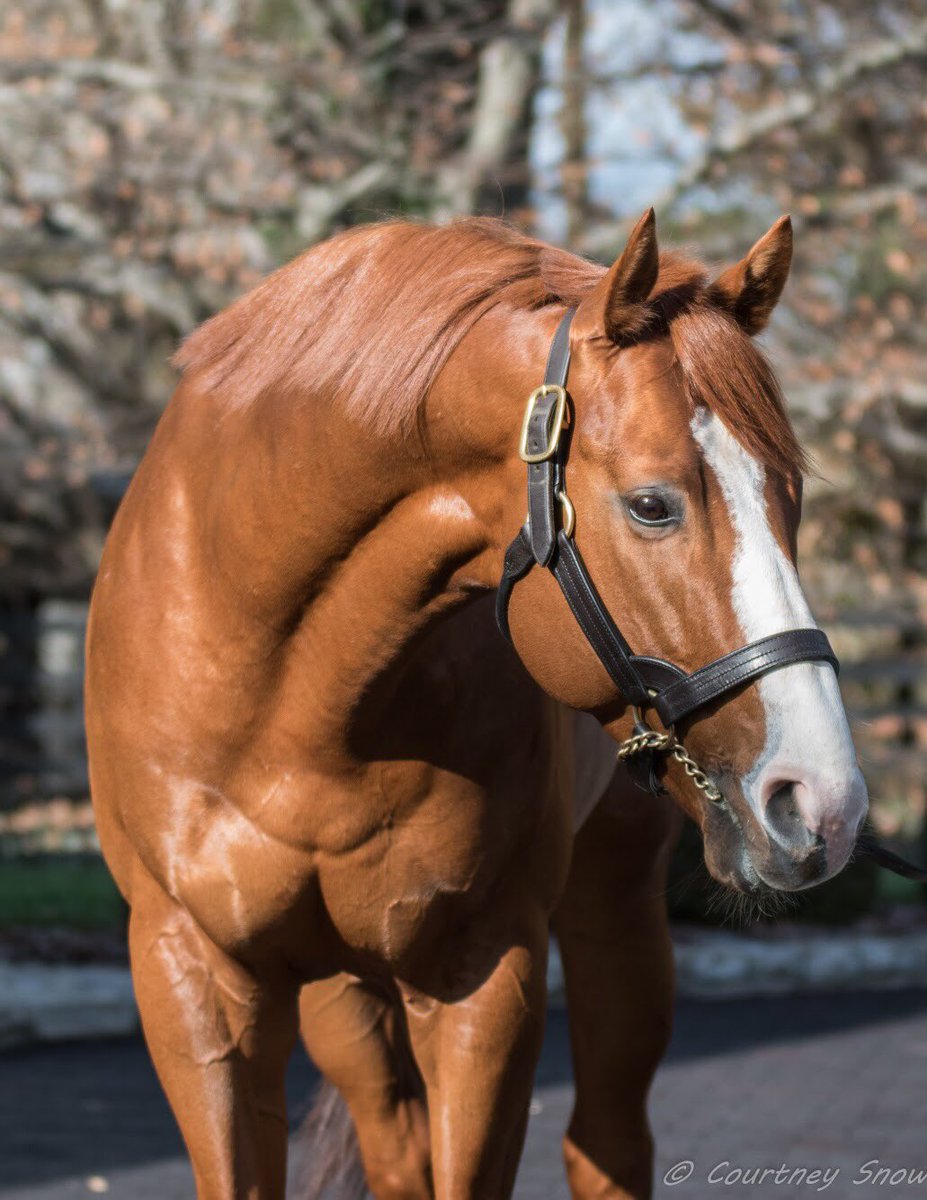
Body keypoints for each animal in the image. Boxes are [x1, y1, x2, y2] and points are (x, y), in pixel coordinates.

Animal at [85, 208, 868, 1200]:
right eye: (652, 505)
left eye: (790, 494)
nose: (823, 804)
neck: (282, 705)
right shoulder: (193, 978)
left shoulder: (483, 979)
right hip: (341, 1001)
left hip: (615, 907)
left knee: (608, 1141)